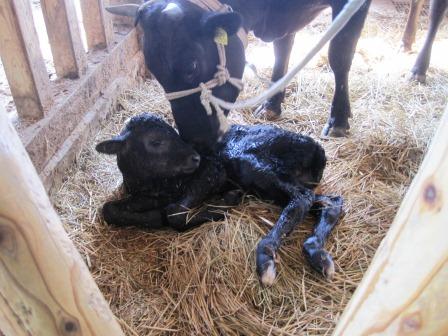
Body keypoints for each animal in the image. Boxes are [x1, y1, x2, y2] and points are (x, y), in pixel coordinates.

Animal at [97, 113, 344, 286]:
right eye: (155, 141)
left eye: (174, 133)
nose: (195, 157)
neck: (153, 184)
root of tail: (317, 150)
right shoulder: (143, 196)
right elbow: (108, 209)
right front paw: (151, 217)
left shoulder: (213, 170)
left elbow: (175, 212)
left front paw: (224, 204)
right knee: (329, 202)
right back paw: (317, 253)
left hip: (250, 162)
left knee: (301, 198)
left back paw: (265, 257)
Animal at [106, 0, 372, 148]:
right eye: (154, 71)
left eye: (191, 66)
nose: (194, 141)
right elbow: (282, 53)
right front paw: (272, 104)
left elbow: (339, 55)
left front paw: (339, 120)